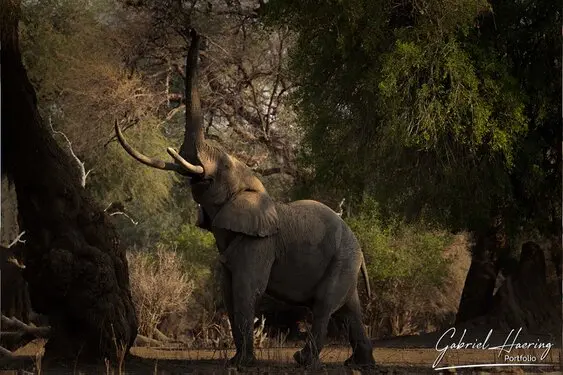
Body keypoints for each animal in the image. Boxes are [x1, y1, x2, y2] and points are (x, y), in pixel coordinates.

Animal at [115, 30, 376, 370]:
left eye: (223, 168)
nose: (195, 33)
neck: (252, 188)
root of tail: (359, 248)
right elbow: (228, 291)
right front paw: (235, 361)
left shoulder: (260, 243)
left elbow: (245, 289)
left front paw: (241, 365)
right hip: (346, 261)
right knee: (348, 309)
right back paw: (359, 365)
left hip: (342, 259)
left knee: (324, 306)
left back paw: (304, 361)